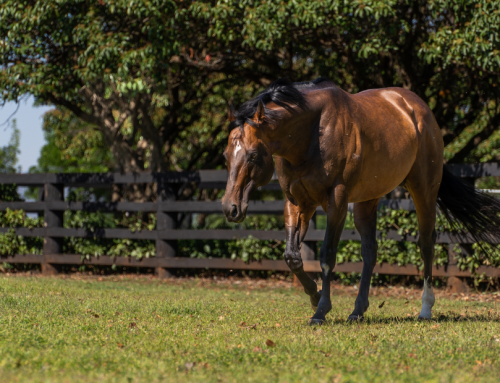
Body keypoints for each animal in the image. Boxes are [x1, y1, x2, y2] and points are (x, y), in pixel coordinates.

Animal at [221, 79, 500, 326]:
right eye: (226, 154)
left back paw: (425, 309)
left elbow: (327, 255)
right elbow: (293, 256)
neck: (311, 134)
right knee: (370, 251)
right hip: (367, 201)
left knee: (426, 243)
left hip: (423, 191)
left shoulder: (336, 202)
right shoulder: (298, 202)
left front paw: (321, 311)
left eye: (253, 155)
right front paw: (314, 296)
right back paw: (358, 311)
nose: (230, 208)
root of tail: (418, 109)